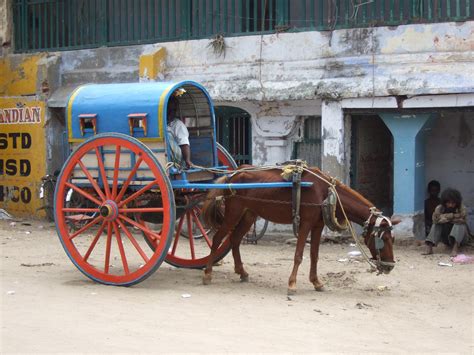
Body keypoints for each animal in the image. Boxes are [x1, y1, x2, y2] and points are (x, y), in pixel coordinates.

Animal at [201, 167, 400, 294]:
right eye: (383, 239)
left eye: (393, 239)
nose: (390, 266)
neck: (326, 192)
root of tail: (231, 175)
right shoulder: (305, 223)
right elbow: (298, 255)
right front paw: (292, 284)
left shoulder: (318, 226)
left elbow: (314, 255)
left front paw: (317, 282)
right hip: (233, 212)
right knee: (218, 238)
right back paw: (208, 274)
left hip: (249, 214)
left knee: (234, 239)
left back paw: (241, 272)